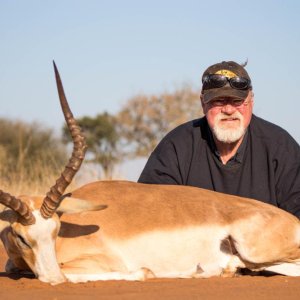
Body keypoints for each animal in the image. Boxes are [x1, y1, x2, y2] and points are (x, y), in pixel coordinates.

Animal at [0, 63, 300, 284]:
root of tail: (292, 221)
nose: (54, 280)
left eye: (55, 229)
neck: (71, 227)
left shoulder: (99, 262)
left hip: (253, 249)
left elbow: (129, 272)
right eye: (20, 237)